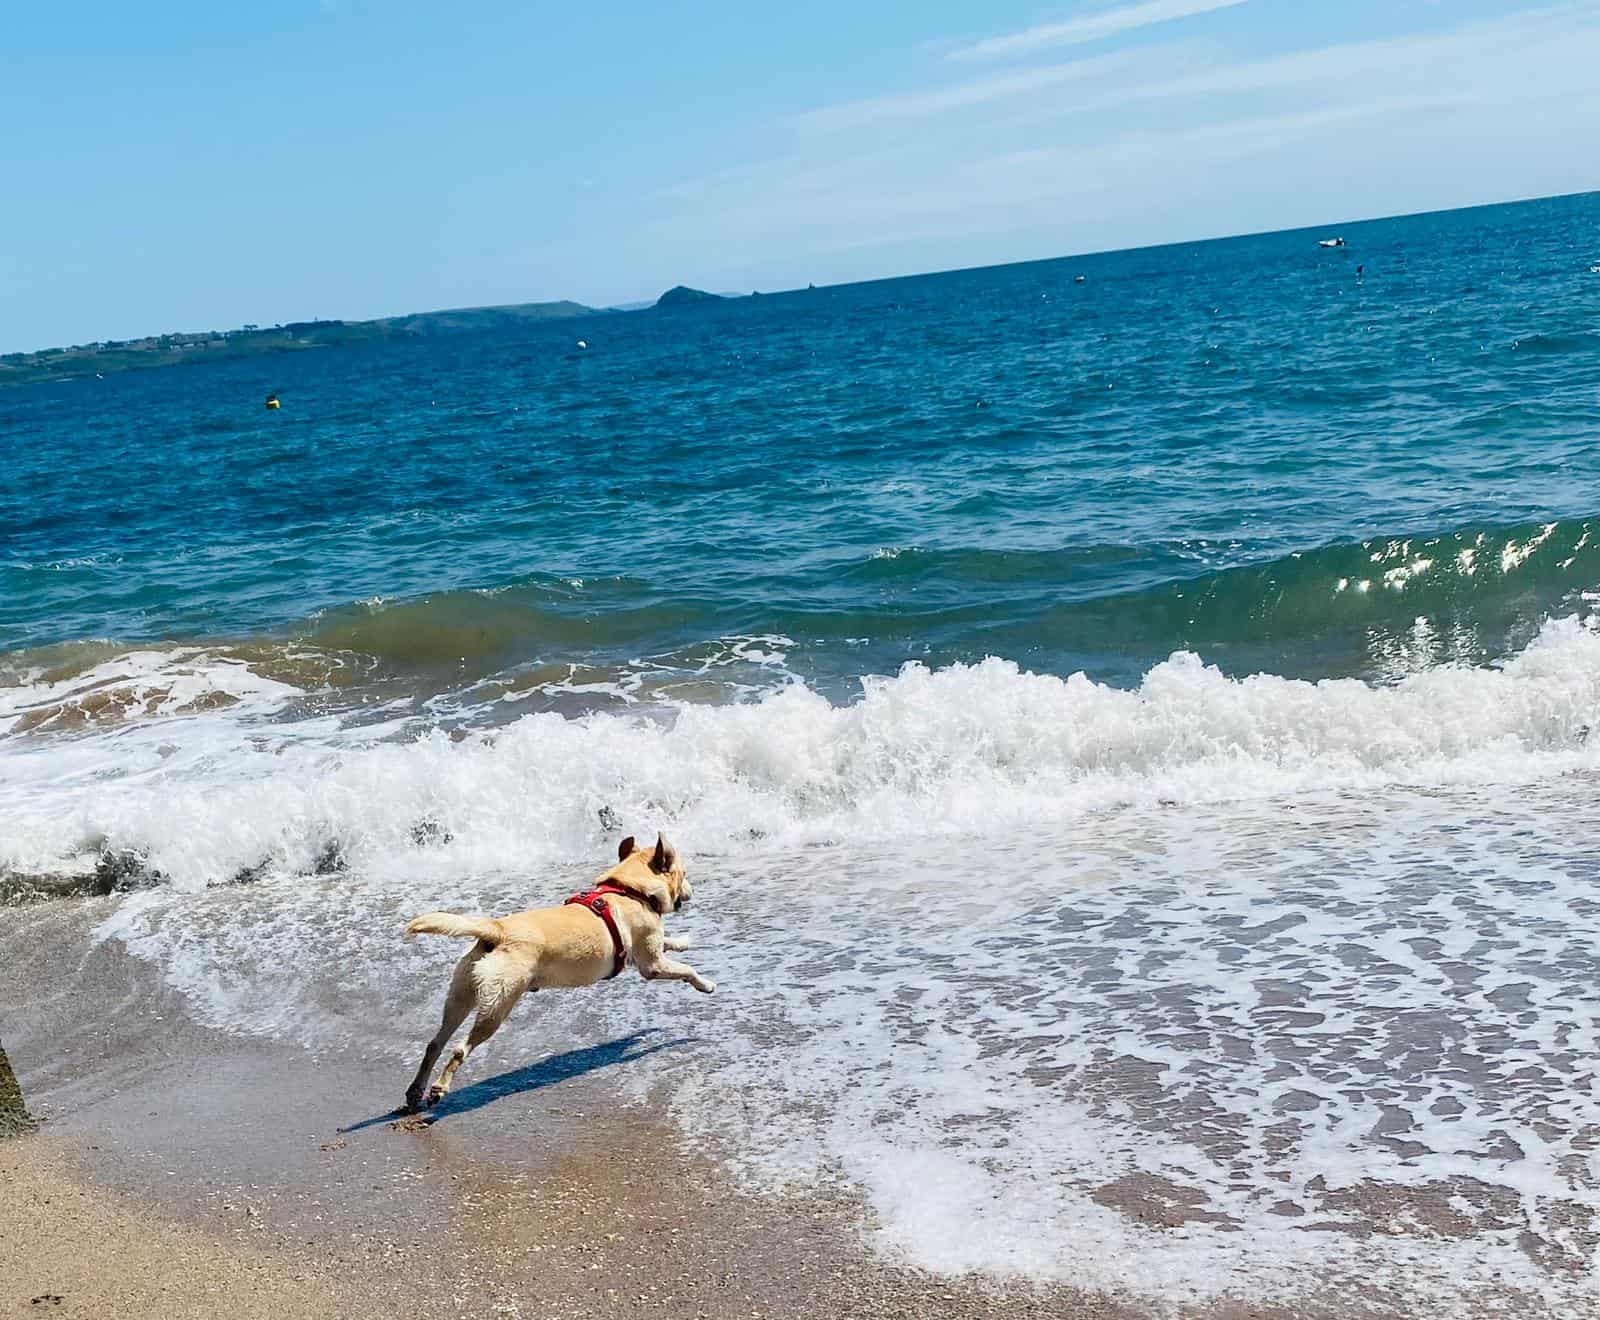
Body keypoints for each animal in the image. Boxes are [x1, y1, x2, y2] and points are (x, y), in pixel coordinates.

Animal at [400, 832, 713, 1113]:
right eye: (684, 873)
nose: (693, 890)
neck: (630, 889)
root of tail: (496, 929)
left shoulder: (644, 953)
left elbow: (668, 943)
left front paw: (682, 941)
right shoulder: (651, 965)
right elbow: (685, 969)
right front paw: (705, 984)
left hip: (461, 996)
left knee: (435, 1043)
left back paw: (415, 1091)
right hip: (498, 1005)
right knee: (459, 1049)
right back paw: (439, 1088)